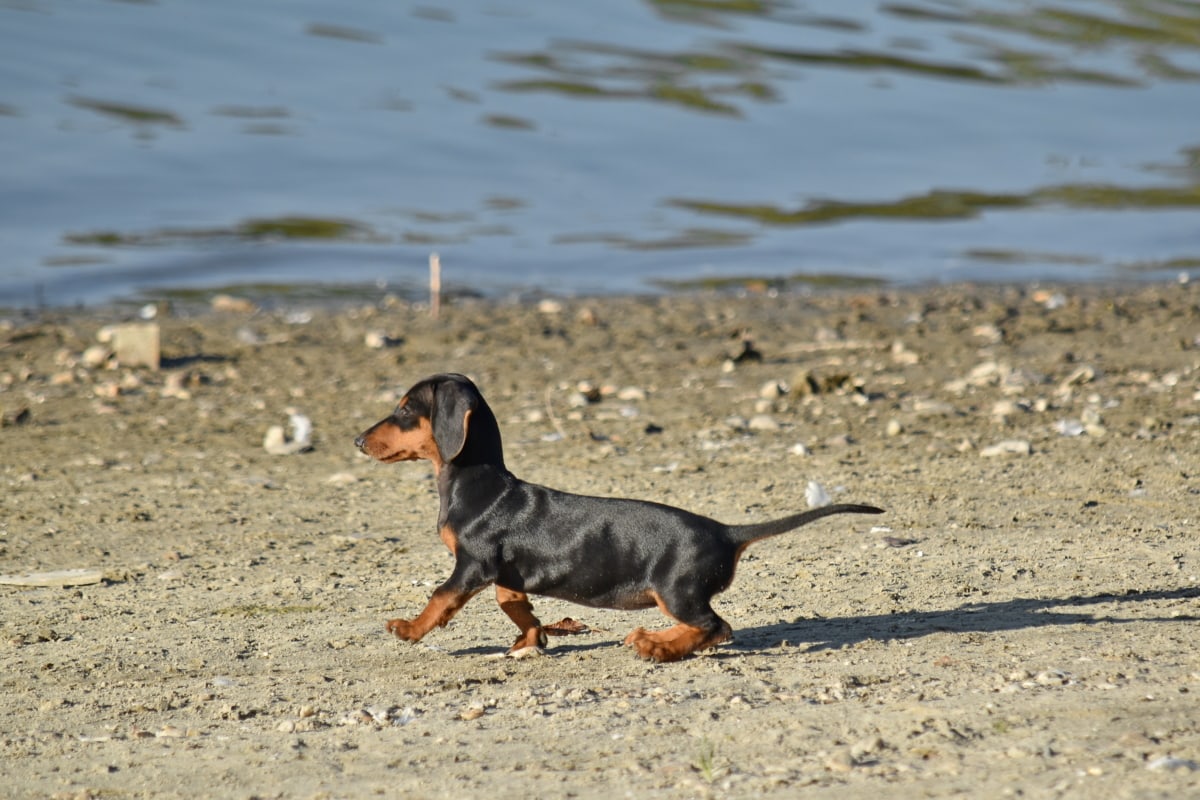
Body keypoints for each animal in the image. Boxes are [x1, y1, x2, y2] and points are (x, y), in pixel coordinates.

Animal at [355, 376, 883, 662]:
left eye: (405, 409)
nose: (358, 441)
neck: (476, 482)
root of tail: (725, 531)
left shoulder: (472, 565)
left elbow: (440, 598)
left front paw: (409, 628)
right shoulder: (503, 574)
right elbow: (514, 604)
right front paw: (532, 638)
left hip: (676, 590)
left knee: (714, 626)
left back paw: (655, 644)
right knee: (715, 630)